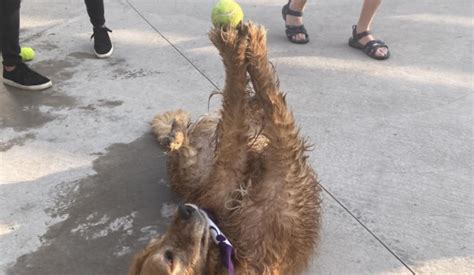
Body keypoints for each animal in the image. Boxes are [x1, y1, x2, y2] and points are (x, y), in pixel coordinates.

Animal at [130, 22, 322, 274]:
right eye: (168, 257)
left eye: (159, 240)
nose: (185, 210)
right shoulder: (280, 159)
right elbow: (266, 98)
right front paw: (243, 48)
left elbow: (255, 97)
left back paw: (176, 131)